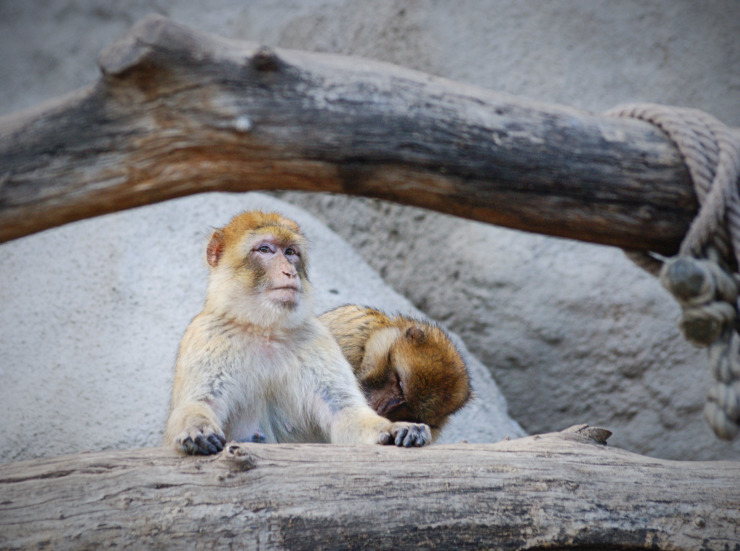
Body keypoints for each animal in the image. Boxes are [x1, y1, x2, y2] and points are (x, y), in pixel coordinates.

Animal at [162, 210, 428, 452]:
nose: (288, 271)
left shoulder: (318, 339)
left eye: (290, 252)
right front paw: (197, 427)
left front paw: (394, 428)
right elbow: (199, 402)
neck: (265, 328)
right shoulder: (206, 336)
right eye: (265, 249)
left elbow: (344, 412)